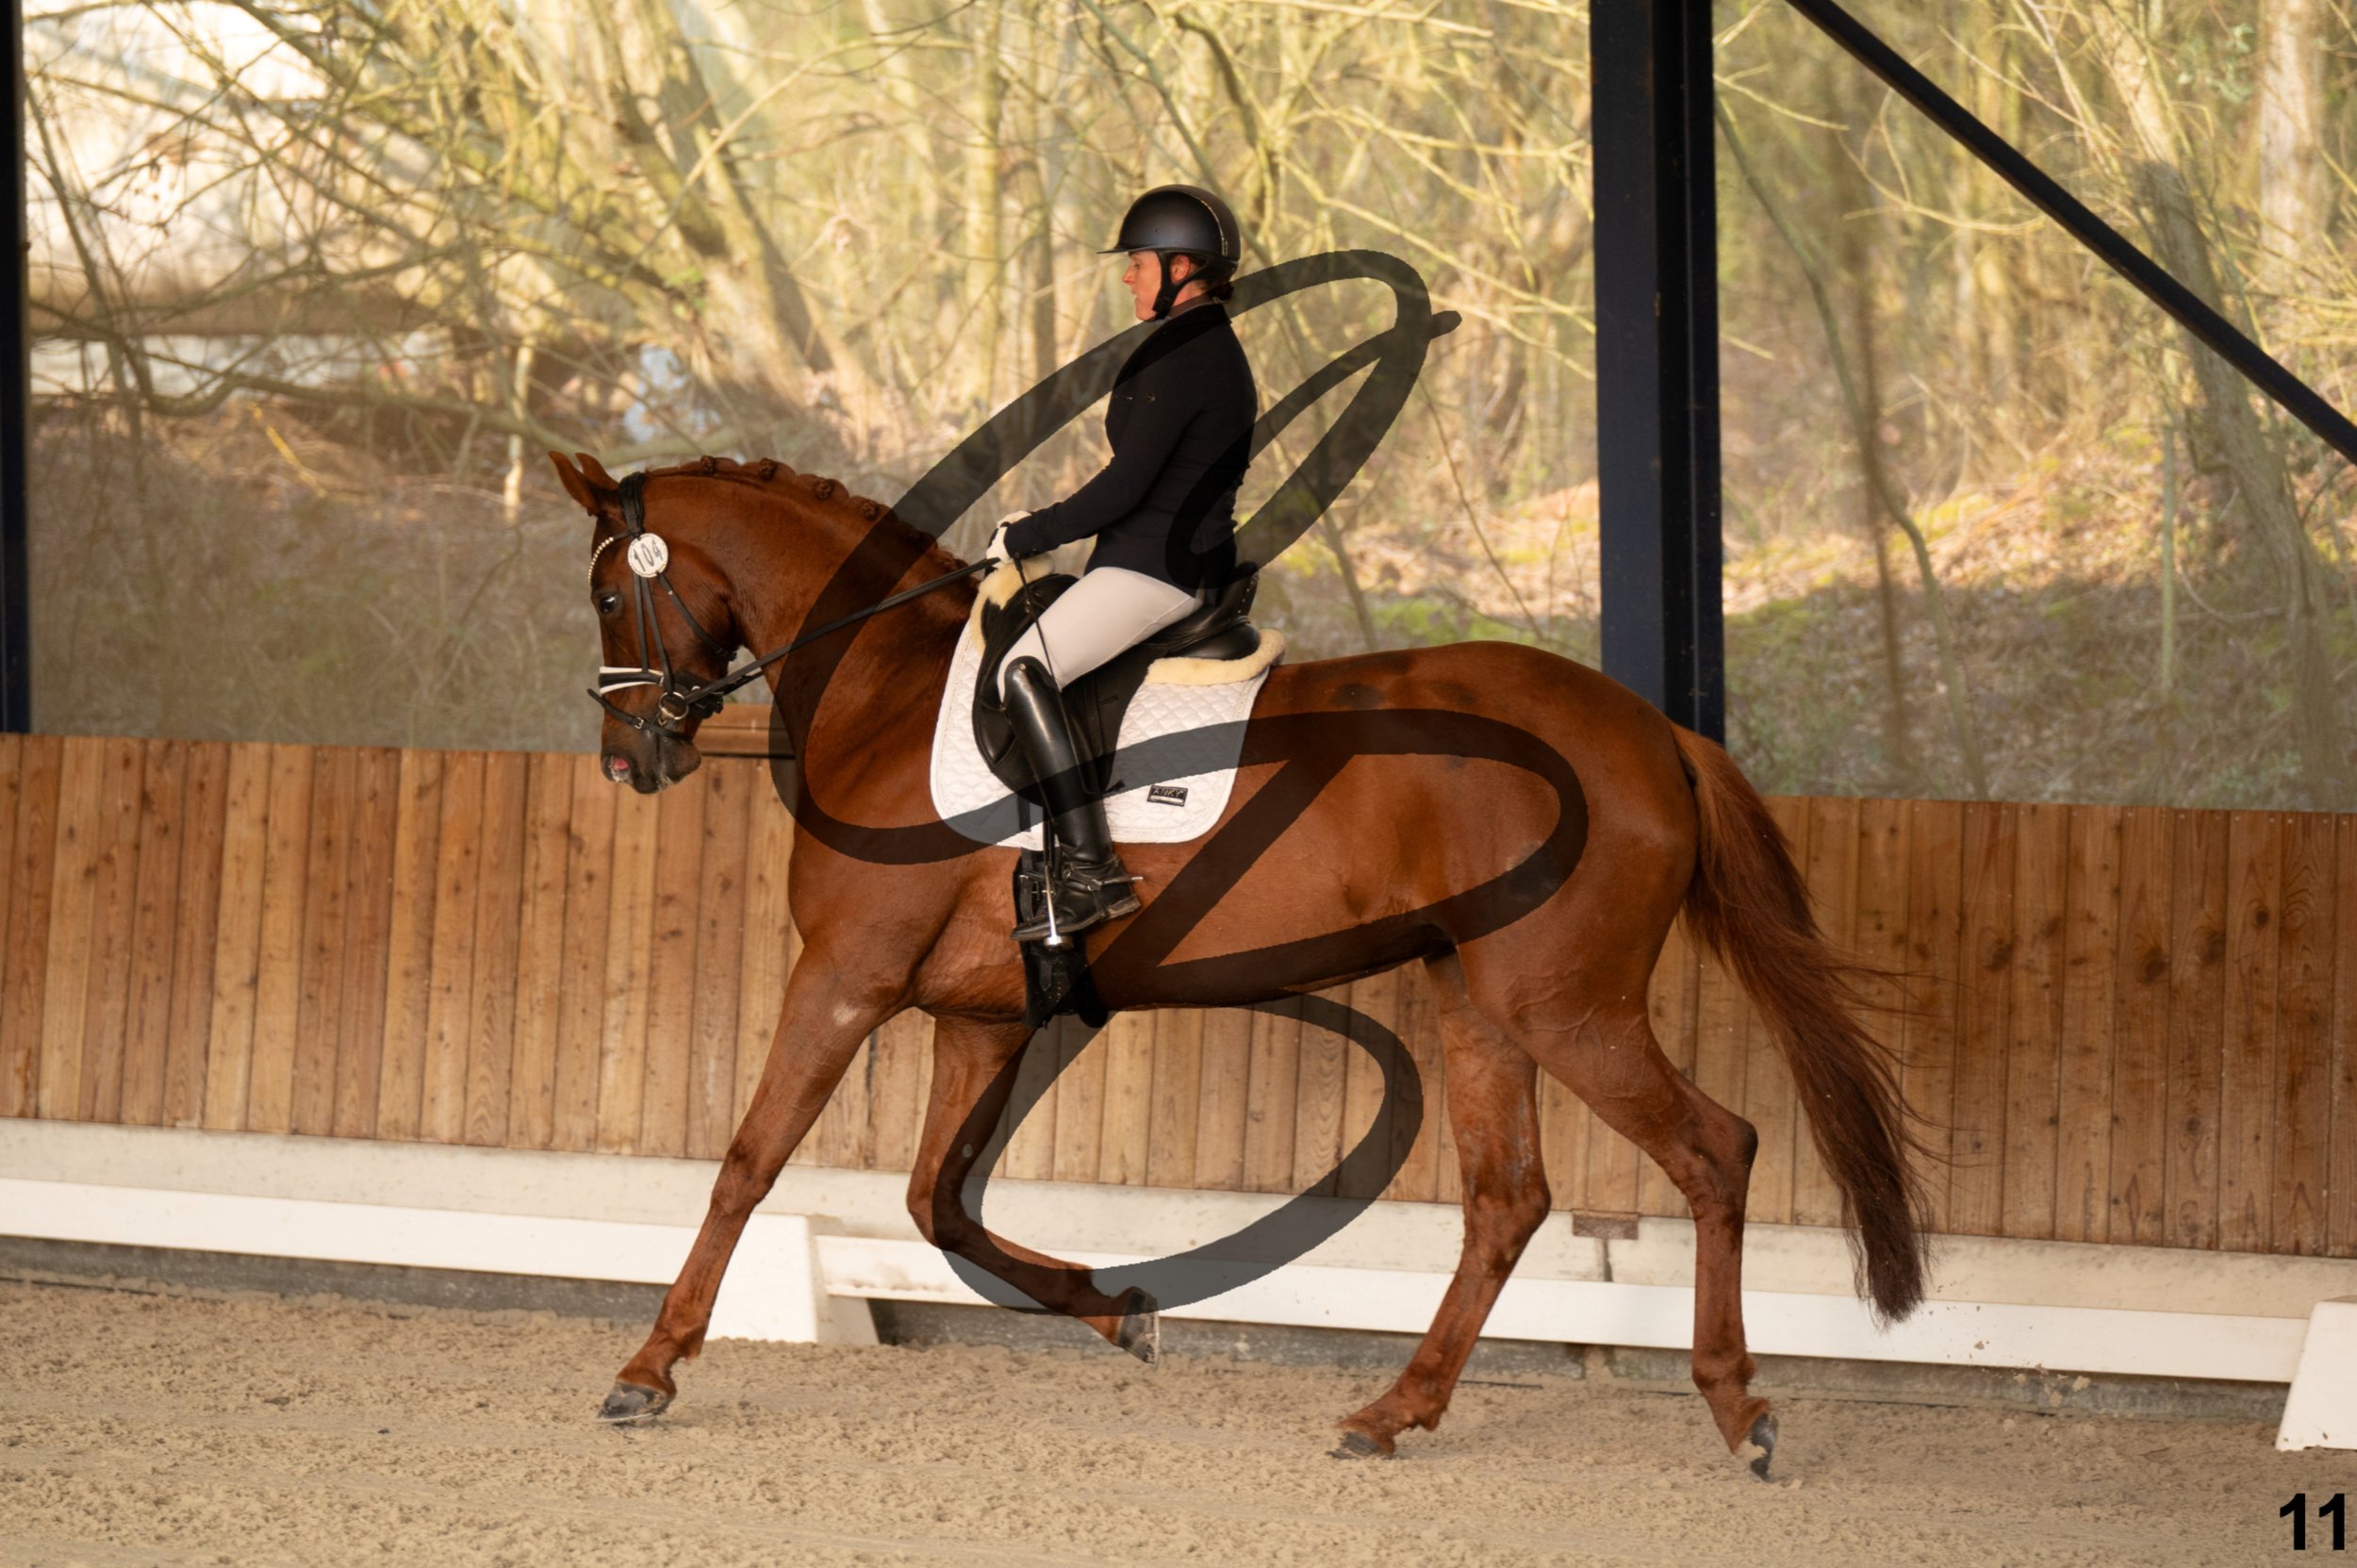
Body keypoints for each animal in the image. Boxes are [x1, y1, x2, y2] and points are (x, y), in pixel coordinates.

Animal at [551, 447, 1929, 1477]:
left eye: (611, 594)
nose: (630, 756)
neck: (885, 696)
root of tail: (1654, 734)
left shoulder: (845, 979)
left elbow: (747, 1163)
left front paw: (647, 1367)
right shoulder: (978, 1017)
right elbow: (937, 1202)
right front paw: (1125, 1313)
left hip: (1565, 1004)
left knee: (1711, 1149)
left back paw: (1738, 1406)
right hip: (1478, 998)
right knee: (1508, 1197)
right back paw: (1393, 1411)